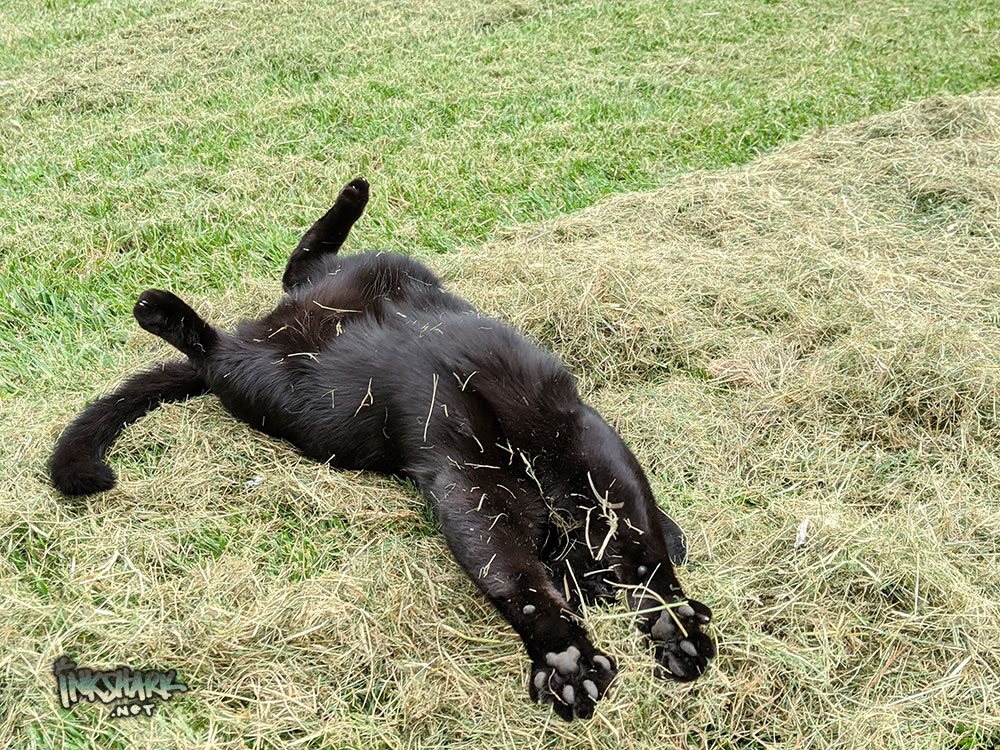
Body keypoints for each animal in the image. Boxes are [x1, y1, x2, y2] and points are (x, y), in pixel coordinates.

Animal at [50, 178, 716, 724]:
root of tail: (272, 323)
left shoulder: (569, 447)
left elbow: (637, 545)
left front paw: (668, 622)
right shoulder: (485, 476)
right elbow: (523, 580)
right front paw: (571, 657)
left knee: (285, 276)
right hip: (275, 368)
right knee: (243, 315)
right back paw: (169, 301)